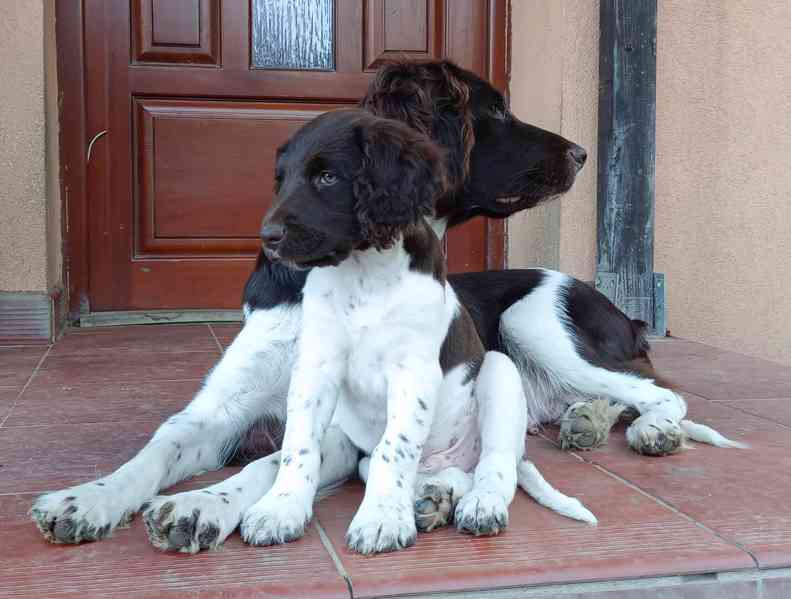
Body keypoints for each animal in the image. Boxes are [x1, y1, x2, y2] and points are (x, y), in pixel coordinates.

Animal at [254, 110, 592, 556]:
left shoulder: (411, 370)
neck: (363, 274)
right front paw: (280, 509)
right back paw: (434, 498)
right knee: (439, 473)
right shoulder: (316, 367)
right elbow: (300, 444)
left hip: (500, 372)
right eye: (282, 179)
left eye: (327, 177)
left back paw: (480, 504)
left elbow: (393, 448)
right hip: (399, 459)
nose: (268, 238)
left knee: (496, 467)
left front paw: (381, 519)